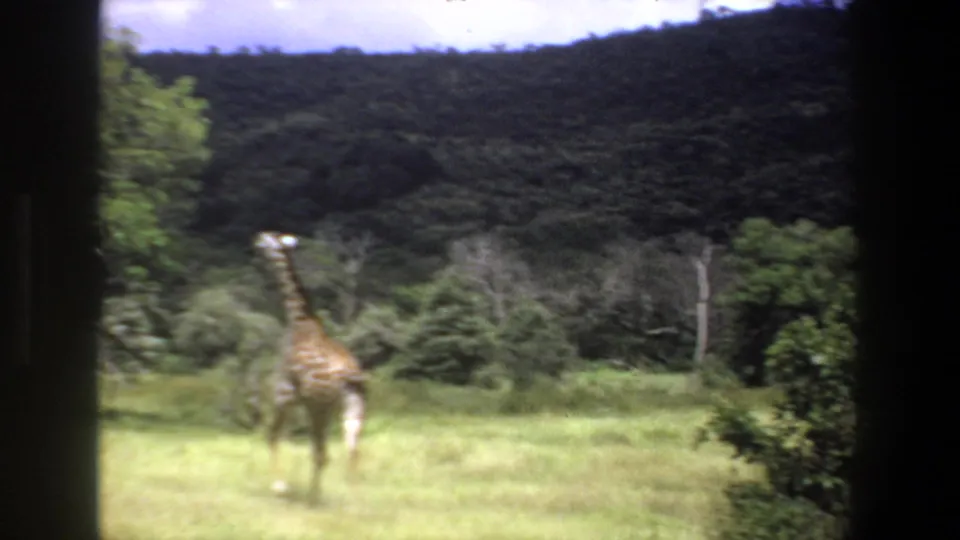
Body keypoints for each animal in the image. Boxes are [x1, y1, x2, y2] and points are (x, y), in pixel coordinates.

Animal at [253, 230, 367, 505]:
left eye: (270, 239)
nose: (256, 239)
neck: (300, 322)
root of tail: (349, 376)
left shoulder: (284, 393)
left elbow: (273, 435)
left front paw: (280, 487)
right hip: (353, 405)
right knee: (352, 449)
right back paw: (353, 500)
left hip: (319, 406)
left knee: (321, 452)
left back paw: (312, 498)